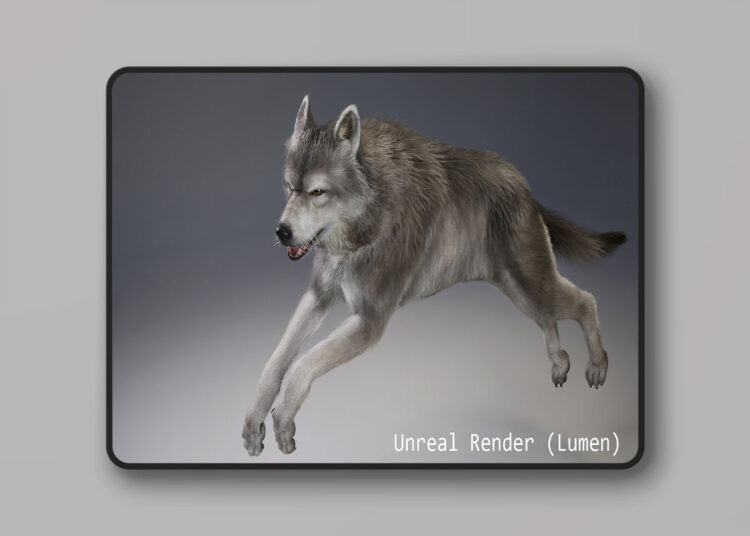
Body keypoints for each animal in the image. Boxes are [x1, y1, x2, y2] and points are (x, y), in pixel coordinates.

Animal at [243, 96, 626, 455]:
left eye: (318, 191)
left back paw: (597, 366)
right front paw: (254, 420)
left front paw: (283, 418)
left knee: (585, 301)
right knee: (549, 319)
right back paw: (560, 363)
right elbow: (278, 359)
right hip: (519, 290)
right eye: (288, 186)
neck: (369, 216)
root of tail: (526, 188)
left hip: (532, 286)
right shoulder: (318, 297)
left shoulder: (370, 321)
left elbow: (303, 364)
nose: (282, 232)